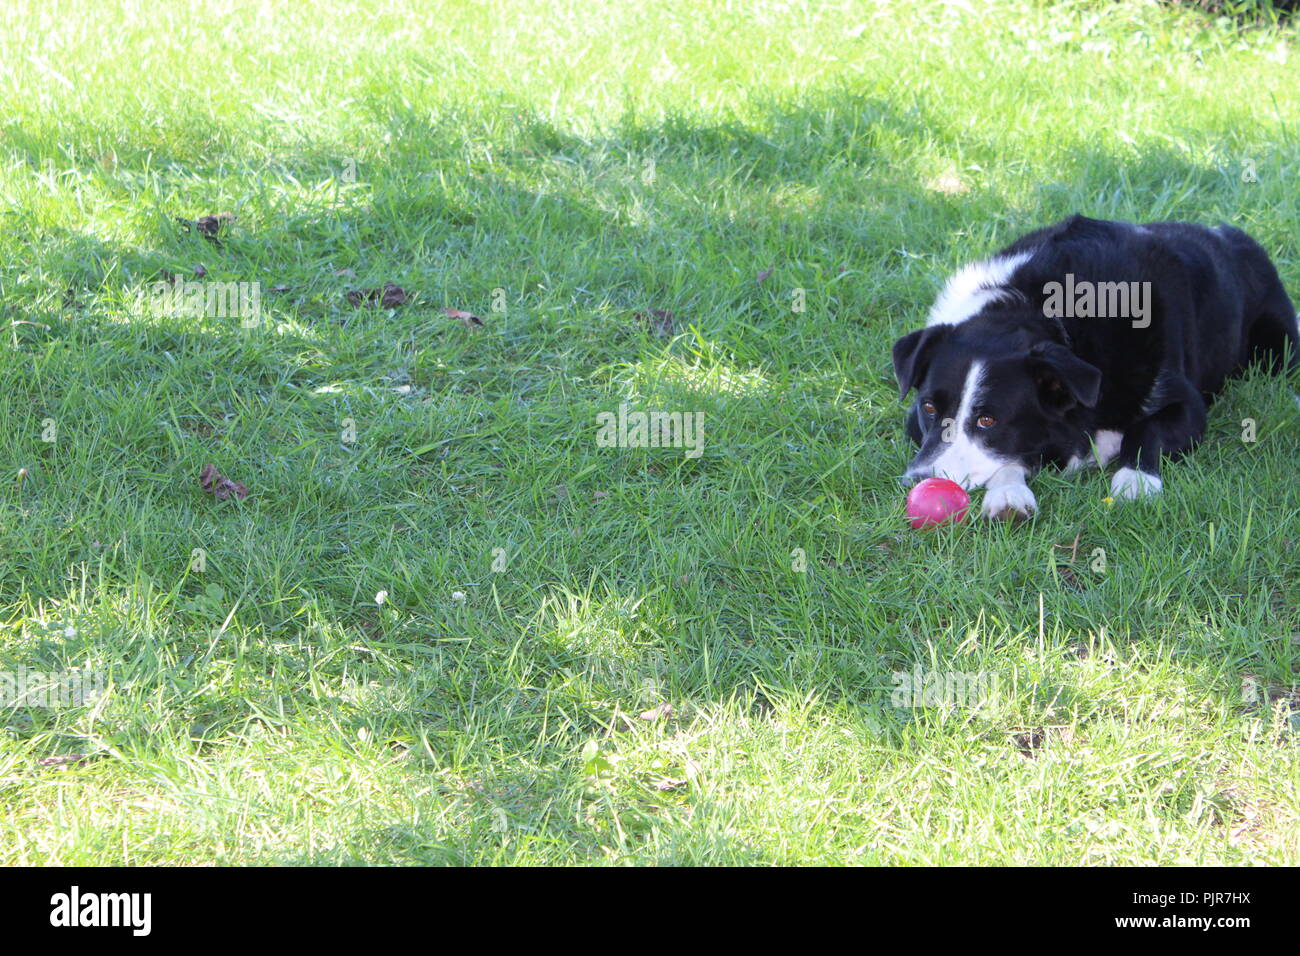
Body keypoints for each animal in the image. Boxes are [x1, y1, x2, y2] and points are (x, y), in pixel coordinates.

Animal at [894, 215, 1300, 520]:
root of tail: (1227, 232)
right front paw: (1009, 494)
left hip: (1278, 346)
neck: (1047, 312)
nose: (916, 479)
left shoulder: (1187, 405)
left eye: (988, 420)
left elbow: (1148, 429)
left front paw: (1136, 481)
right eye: (928, 408)